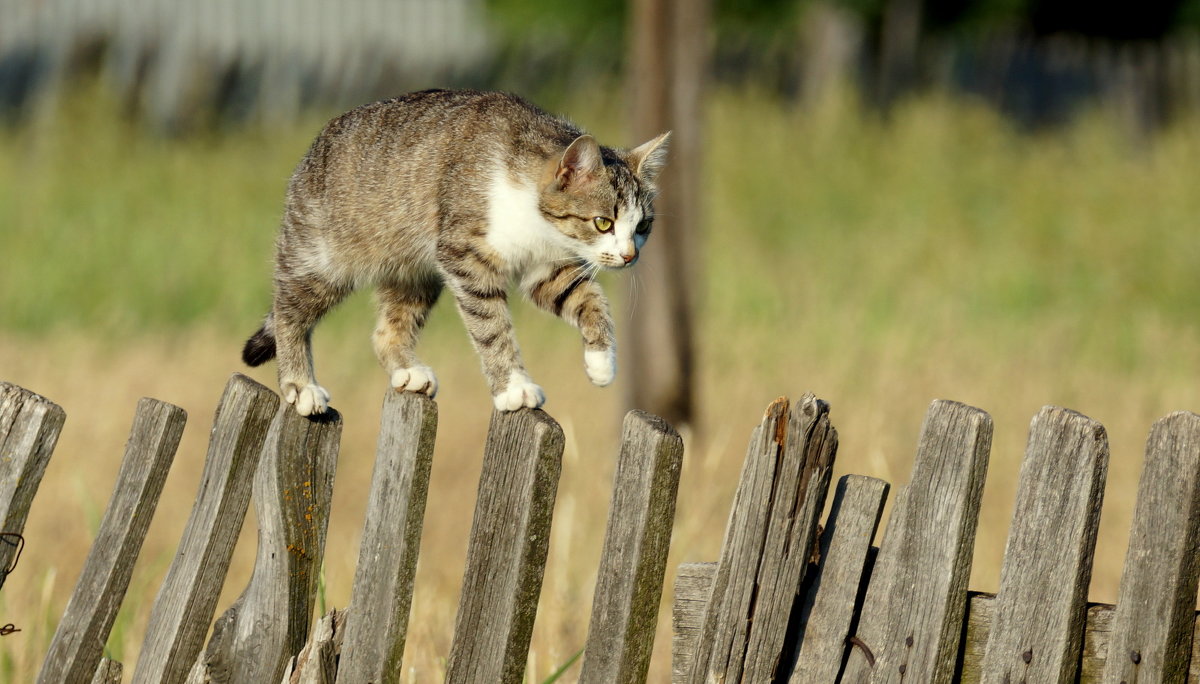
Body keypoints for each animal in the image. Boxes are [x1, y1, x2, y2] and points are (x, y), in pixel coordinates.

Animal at [238, 87, 672, 412]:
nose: (630, 255)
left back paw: (407, 370)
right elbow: (492, 326)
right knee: (288, 311)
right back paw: (300, 384)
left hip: (415, 271)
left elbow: (589, 300)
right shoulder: (466, 257)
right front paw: (513, 386)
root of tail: (313, 149)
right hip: (322, 258)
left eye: (643, 226)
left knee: (385, 330)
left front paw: (602, 362)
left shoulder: (546, 268)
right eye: (603, 222)